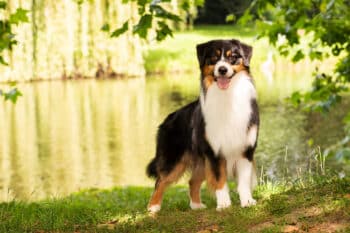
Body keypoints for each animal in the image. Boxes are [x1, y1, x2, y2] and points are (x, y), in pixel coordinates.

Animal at [146, 38, 258, 213]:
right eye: (214, 58)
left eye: (233, 57)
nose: (223, 69)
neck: (228, 97)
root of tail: (168, 119)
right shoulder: (214, 151)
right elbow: (219, 180)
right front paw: (224, 204)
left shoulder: (246, 149)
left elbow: (244, 180)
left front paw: (247, 201)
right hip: (174, 159)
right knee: (161, 180)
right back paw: (153, 208)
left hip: (200, 160)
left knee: (192, 181)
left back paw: (196, 205)